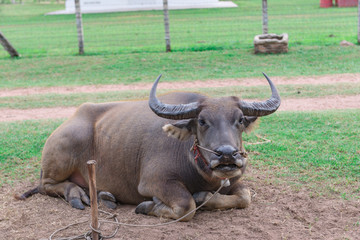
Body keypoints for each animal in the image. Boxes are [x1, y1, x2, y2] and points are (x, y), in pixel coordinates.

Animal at [18, 73, 280, 221]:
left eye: (240, 120)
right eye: (202, 121)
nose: (226, 155)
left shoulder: (234, 179)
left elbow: (245, 197)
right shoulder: (154, 182)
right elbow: (187, 206)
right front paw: (148, 206)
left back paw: (105, 196)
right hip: (66, 146)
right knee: (46, 185)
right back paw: (77, 194)